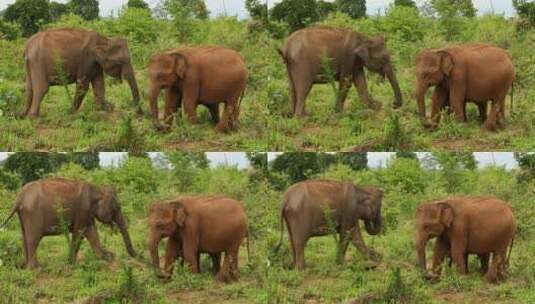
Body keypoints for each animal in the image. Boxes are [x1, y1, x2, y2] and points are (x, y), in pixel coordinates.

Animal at [1, 178, 138, 268]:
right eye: (116, 208)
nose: (137, 255)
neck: (98, 188)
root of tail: (19, 197)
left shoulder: (87, 213)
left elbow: (91, 232)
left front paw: (104, 258)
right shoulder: (83, 209)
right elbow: (79, 233)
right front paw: (71, 264)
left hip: (24, 215)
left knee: (24, 237)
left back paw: (26, 266)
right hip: (33, 214)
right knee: (33, 239)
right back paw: (35, 268)